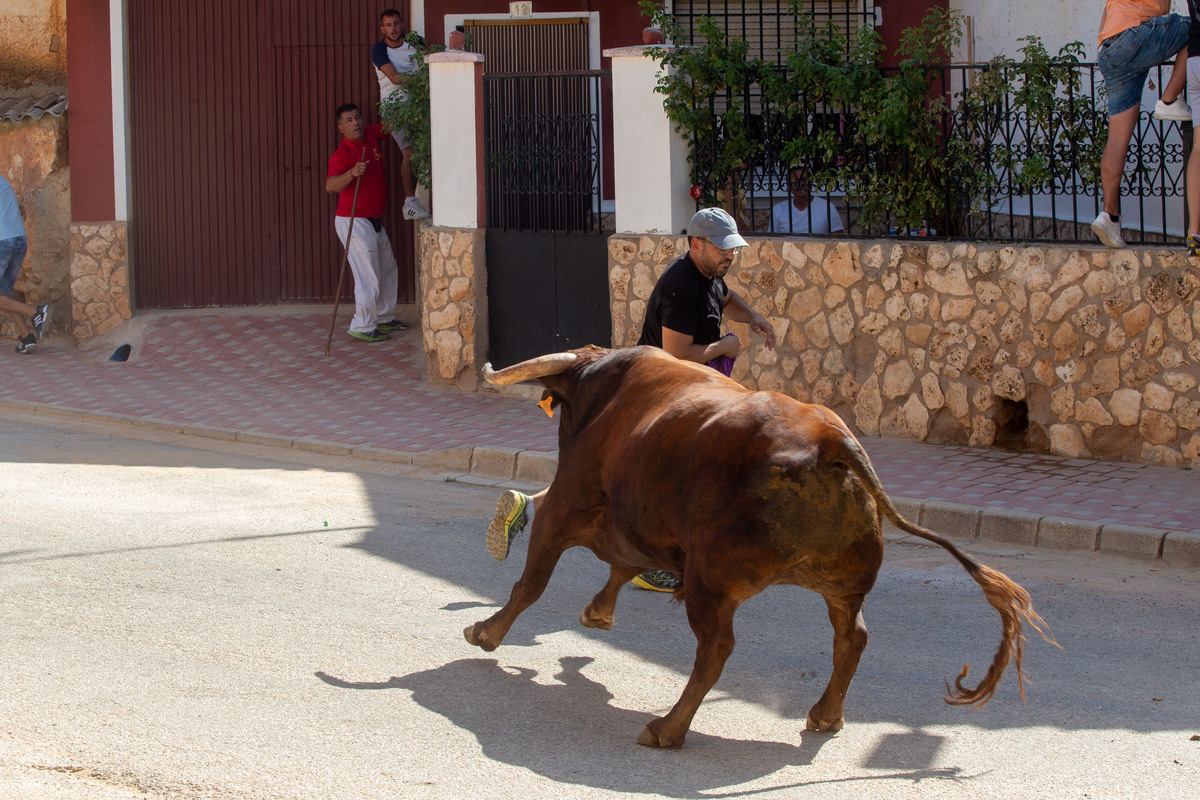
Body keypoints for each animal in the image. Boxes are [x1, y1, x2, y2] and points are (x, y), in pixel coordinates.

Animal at [463, 345, 1056, 753]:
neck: (603, 391)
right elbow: (620, 567)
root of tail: (831, 442)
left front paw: (487, 632)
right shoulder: (632, 524)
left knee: (716, 649)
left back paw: (667, 728)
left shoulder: (568, 505)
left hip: (711, 584)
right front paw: (597, 615)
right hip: (842, 586)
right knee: (852, 639)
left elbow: (532, 581)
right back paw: (825, 714)